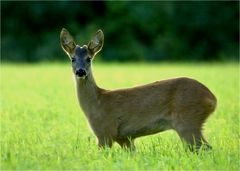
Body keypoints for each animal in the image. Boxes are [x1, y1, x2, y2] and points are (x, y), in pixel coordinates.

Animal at [59, 28, 216, 152]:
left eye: (89, 59)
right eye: (72, 58)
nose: (80, 71)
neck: (97, 102)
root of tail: (212, 99)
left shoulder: (105, 131)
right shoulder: (125, 138)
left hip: (188, 120)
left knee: (206, 148)